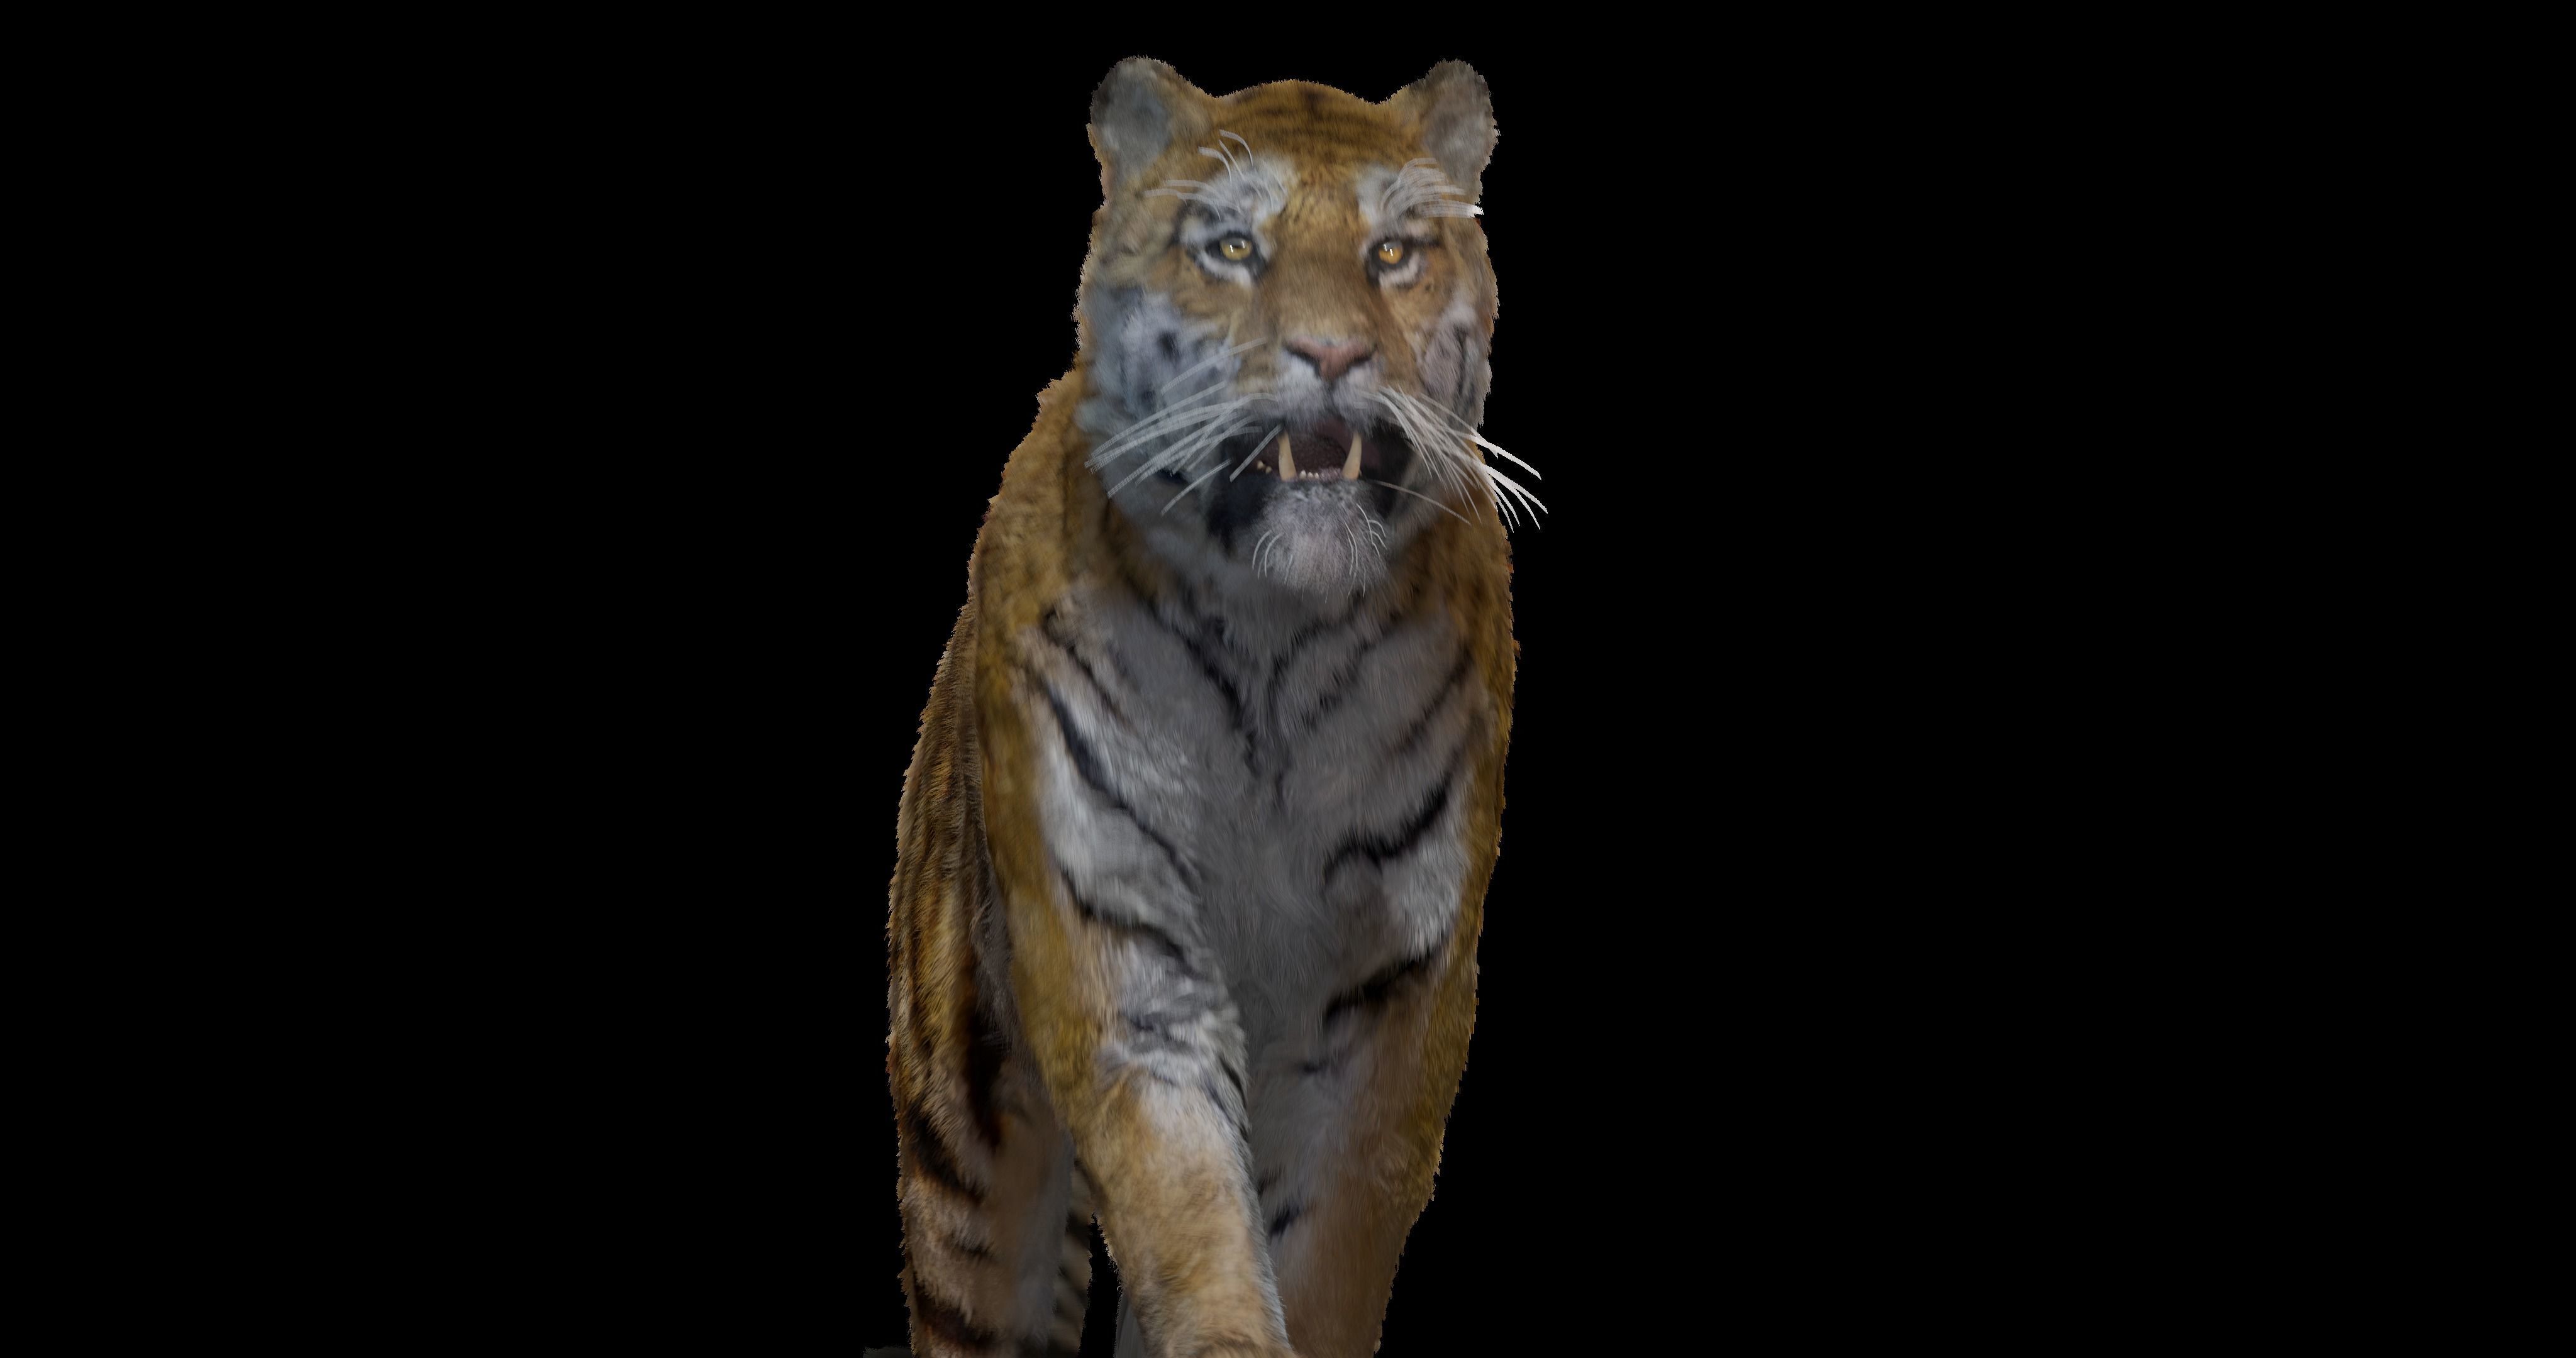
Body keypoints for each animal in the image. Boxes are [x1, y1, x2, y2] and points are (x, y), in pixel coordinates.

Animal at [886, 57, 1533, 1358]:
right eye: (1235, 247)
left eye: (1393, 252)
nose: (1333, 353)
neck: (1275, 636)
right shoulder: (1124, 948)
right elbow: (1191, 1211)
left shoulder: (1394, 990)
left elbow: (1320, 1241)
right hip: (964, 1149)